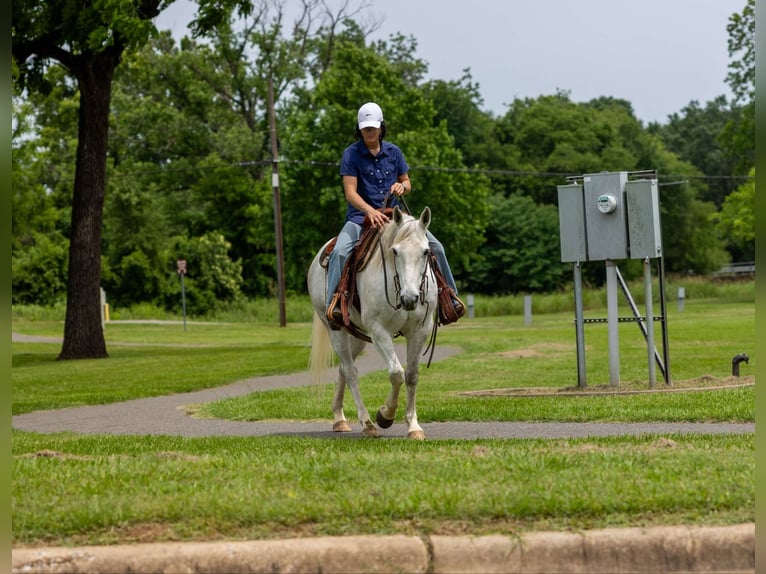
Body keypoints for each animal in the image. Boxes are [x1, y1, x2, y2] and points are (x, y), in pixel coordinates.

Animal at [307, 206, 438, 439]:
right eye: (395, 251)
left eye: (425, 252)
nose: (410, 298)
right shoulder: (379, 330)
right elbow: (396, 373)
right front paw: (385, 415)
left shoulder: (420, 331)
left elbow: (411, 375)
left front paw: (414, 427)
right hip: (335, 329)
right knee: (350, 371)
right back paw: (367, 424)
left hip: (357, 335)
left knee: (344, 368)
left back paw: (339, 419)